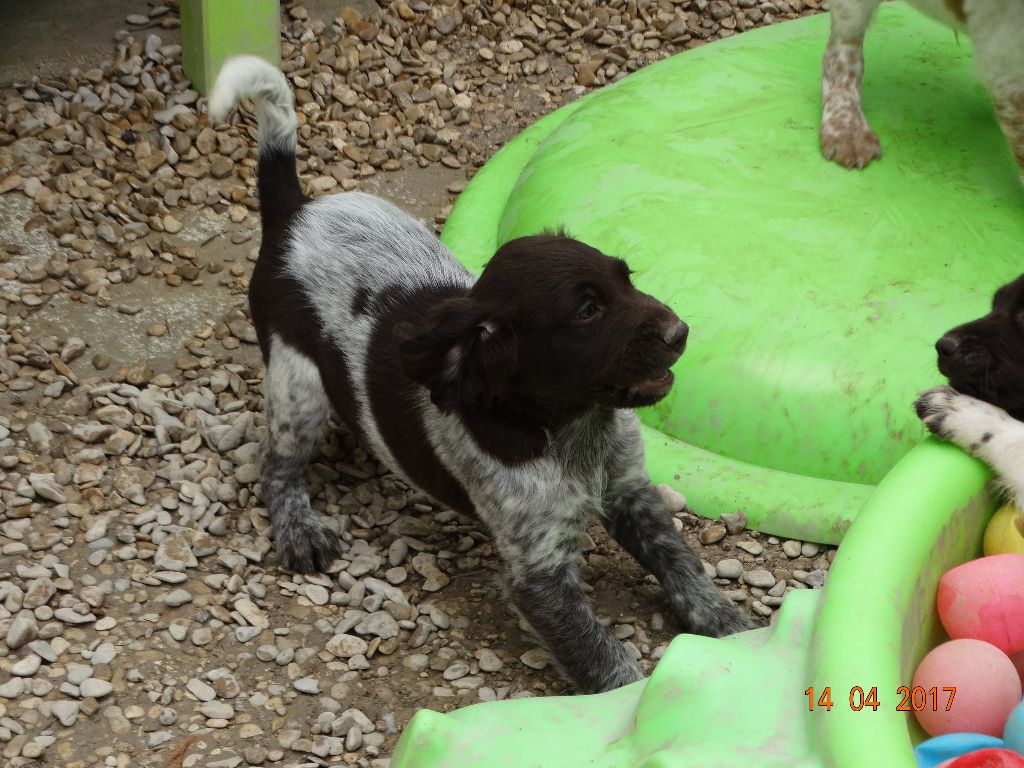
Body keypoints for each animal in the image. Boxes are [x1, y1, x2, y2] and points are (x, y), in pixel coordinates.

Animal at [209, 56, 754, 693]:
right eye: (587, 311)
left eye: (628, 279)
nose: (681, 332)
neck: (570, 430)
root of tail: (295, 211)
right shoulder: (539, 573)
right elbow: (604, 661)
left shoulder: (631, 492)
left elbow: (683, 566)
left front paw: (732, 629)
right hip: (298, 383)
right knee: (277, 464)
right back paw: (298, 528)